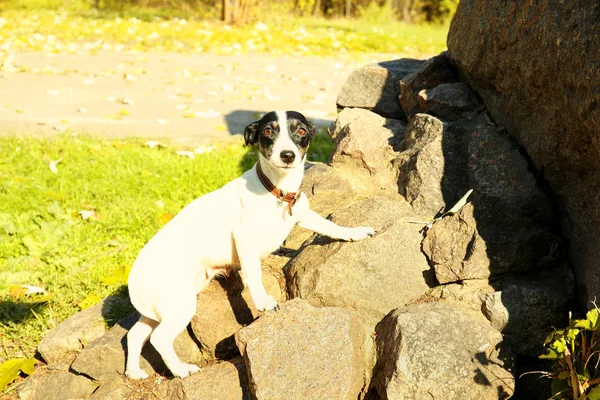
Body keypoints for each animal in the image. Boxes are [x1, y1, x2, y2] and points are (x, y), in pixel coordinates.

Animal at [126, 111, 376, 380]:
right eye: (268, 131)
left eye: (301, 131)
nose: (287, 155)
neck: (277, 191)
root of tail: (132, 279)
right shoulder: (245, 238)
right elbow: (254, 274)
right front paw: (262, 301)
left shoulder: (303, 215)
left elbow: (330, 227)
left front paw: (354, 233)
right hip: (179, 304)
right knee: (159, 339)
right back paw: (181, 370)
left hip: (164, 307)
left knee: (135, 335)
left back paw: (133, 371)